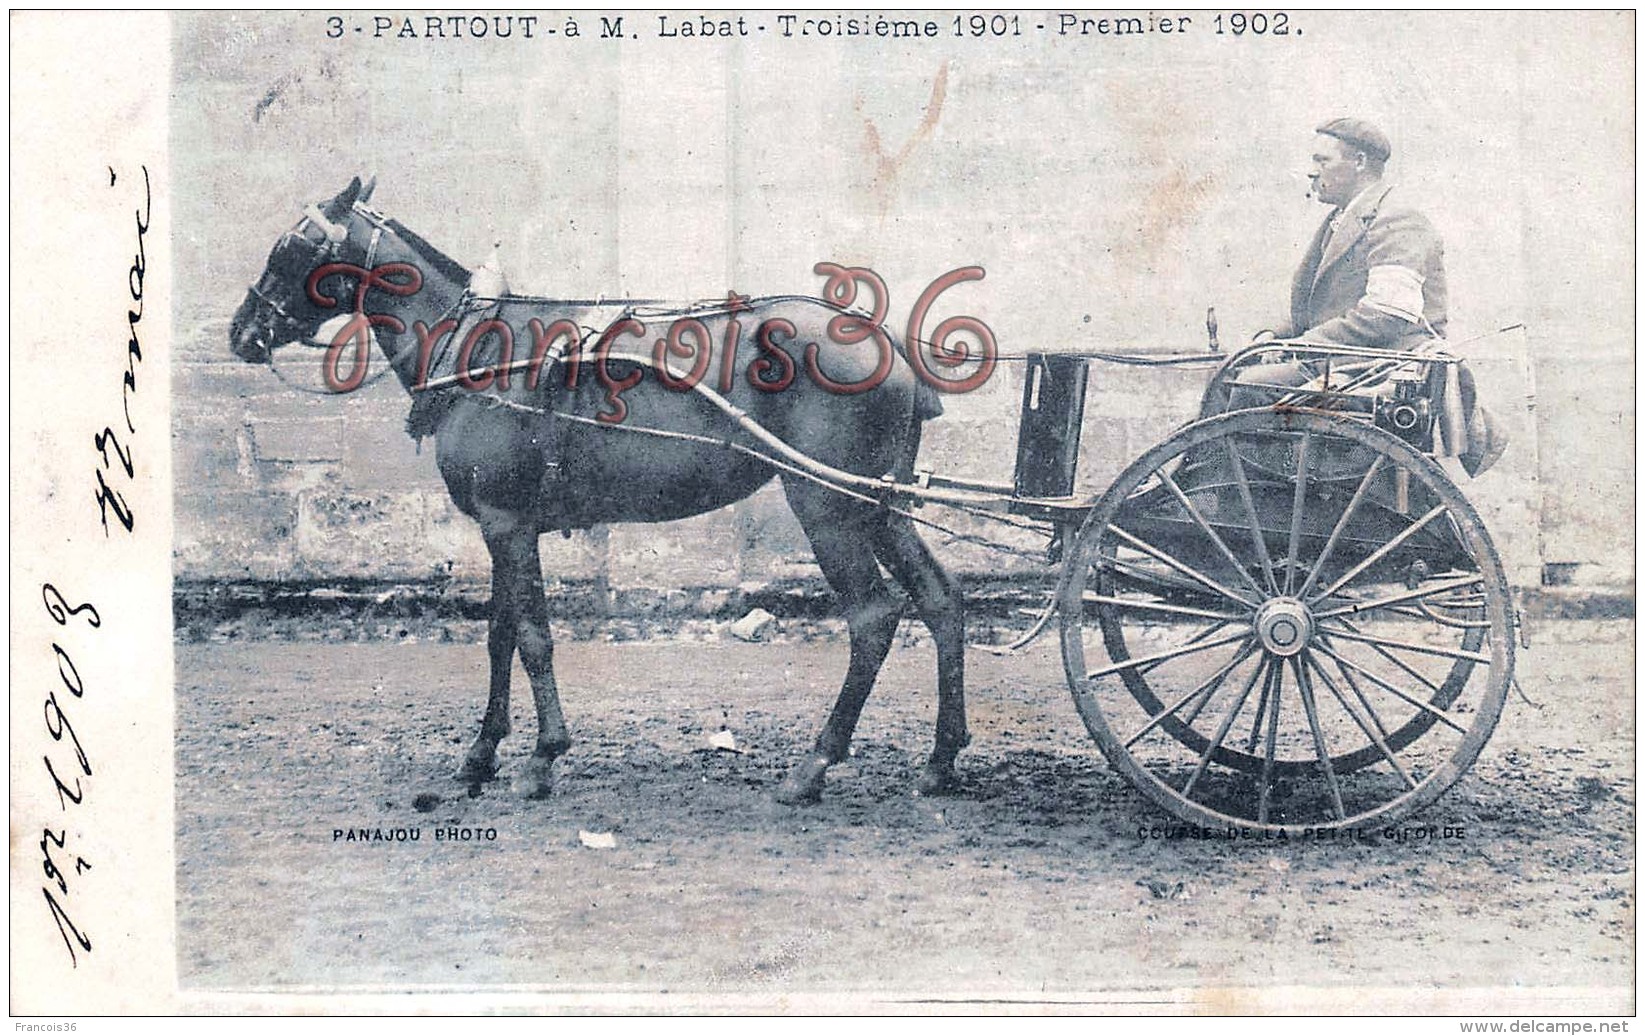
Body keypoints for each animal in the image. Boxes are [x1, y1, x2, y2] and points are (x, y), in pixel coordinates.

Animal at [227, 176, 967, 802]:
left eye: (294, 246)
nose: (242, 332)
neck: (480, 351)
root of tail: (884, 342)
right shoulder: (504, 526)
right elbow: (499, 635)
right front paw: (480, 755)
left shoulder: (506, 523)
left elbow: (531, 636)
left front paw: (541, 757)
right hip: (879, 505)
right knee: (939, 600)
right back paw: (939, 760)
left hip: (827, 506)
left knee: (873, 618)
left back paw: (815, 764)